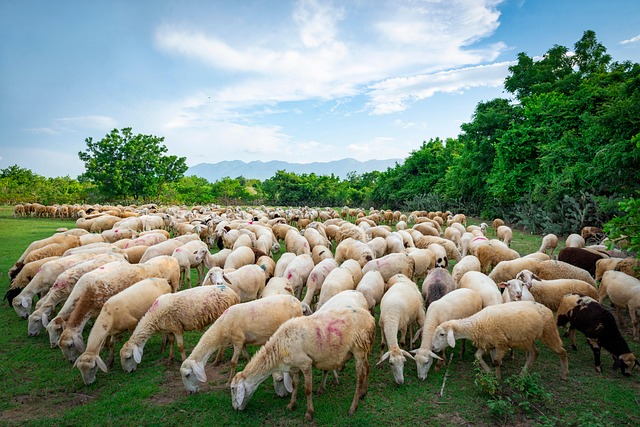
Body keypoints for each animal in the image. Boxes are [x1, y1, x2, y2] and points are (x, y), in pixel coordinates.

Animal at [230, 305, 376, 421]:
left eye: (232, 389)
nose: (235, 408)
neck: (279, 348)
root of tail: (371, 318)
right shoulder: (295, 366)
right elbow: (295, 385)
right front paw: (291, 405)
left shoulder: (306, 363)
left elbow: (307, 390)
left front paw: (309, 413)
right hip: (363, 351)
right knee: (367, 368)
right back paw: (363, 393)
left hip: (359, 349)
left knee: (359, 378)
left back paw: (353, 407)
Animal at [431, 301, 569, 381]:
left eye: (442, 334)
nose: (433, 348)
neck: (476, 323)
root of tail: (547, 309)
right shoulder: (487, 342)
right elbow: (477, 356)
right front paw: (489, 371)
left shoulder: (501, 343)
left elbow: (497, 361)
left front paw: (497, 378)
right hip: (526, 338)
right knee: (535, 352)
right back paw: (522, 374)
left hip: (548, 332)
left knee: (562, 351)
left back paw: (564, 374)